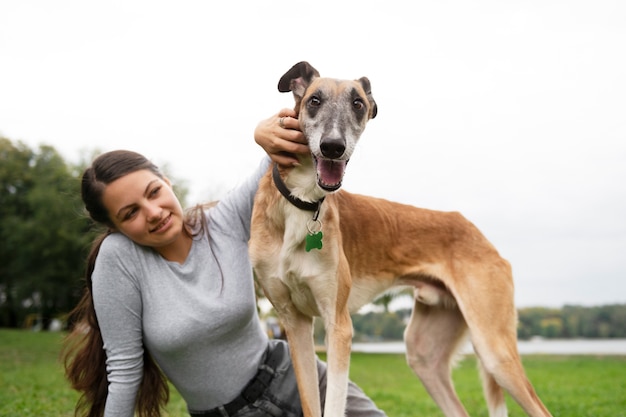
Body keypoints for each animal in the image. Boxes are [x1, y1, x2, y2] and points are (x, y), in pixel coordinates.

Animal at [249, 61, 552, 416]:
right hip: (424, 353)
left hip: (494, 349)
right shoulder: (294, 323)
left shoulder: (338, 326)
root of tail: (477, 233)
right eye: (314, 100)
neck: (301, 202)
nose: (333, 147)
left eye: (358, 103)